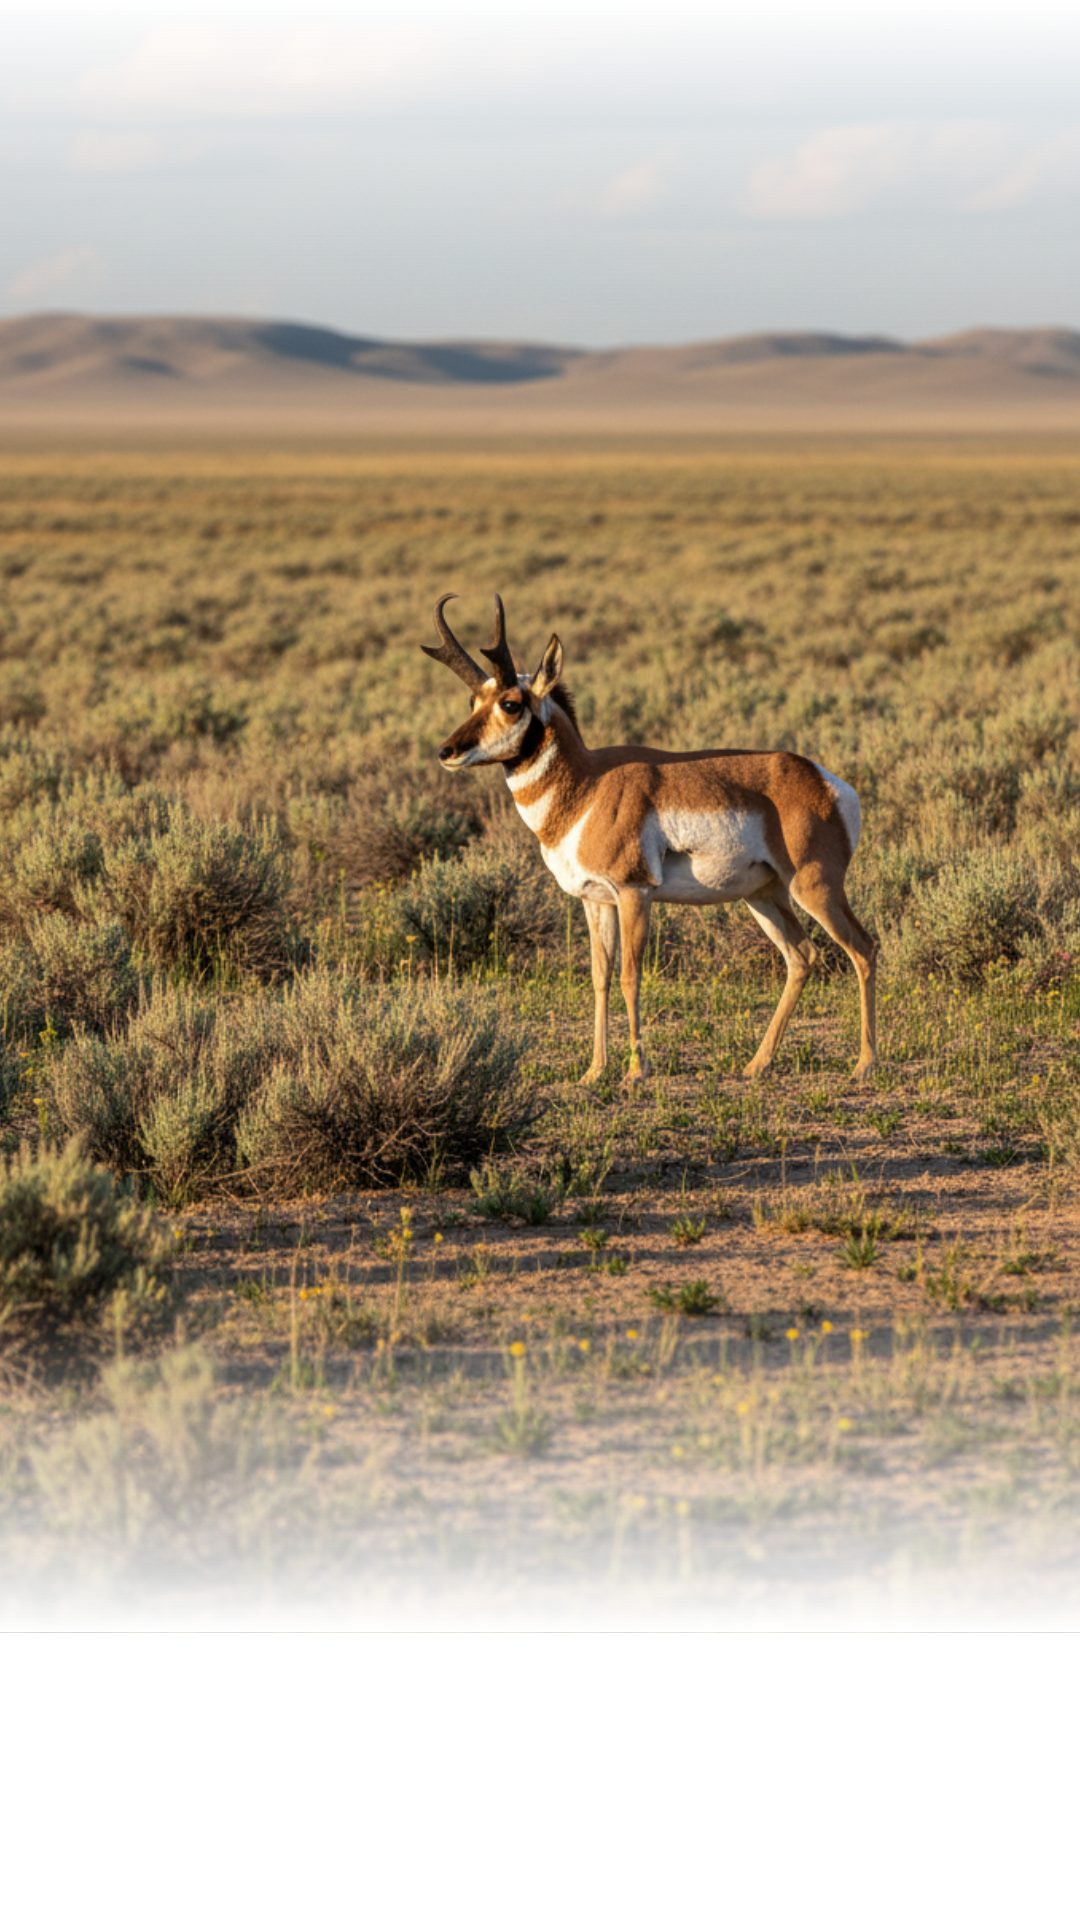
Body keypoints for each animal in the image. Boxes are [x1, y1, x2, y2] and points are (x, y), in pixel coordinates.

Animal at [422, 592, 876, 1085]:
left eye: (509, 703)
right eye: (473, 699)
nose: (446, 752)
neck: (588, 787)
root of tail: (825, 780)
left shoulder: (634, 893)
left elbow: (630, 976)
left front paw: (636, 1071)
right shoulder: (595, 900)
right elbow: (600, 977)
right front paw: (594, 1071)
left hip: (814, 888)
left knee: (863, 948)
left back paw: (864, 1063)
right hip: (764, 897)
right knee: (802, 956)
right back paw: (757, 1064)